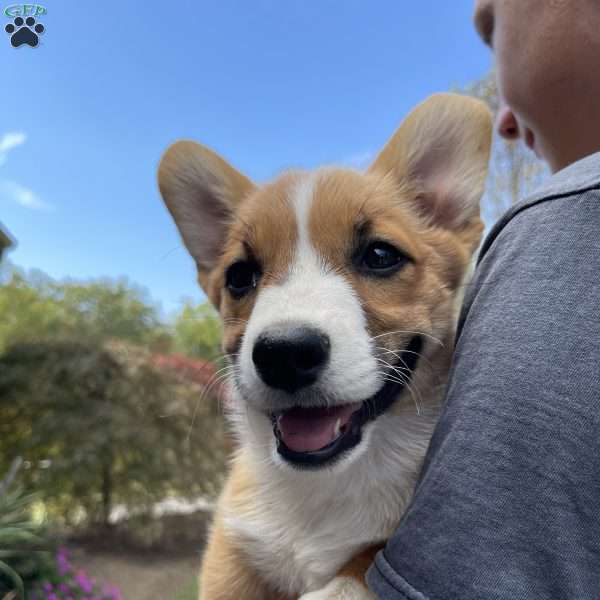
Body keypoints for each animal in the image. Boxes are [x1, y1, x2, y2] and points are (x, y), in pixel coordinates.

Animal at [158, 94, 492, 600]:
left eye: (380, 255)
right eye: (239, 276)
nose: (284, 355)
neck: (319, 492)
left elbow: (361, 562)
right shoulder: (232, 551)